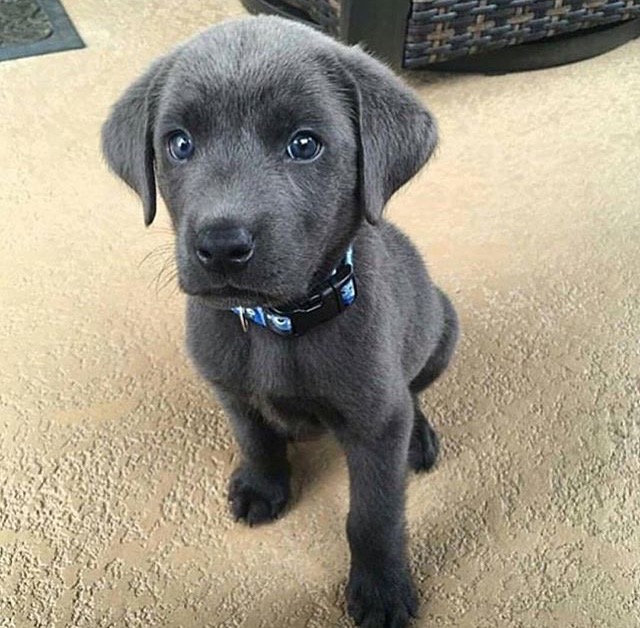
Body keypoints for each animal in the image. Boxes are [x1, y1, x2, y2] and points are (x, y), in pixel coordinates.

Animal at [102, 16, 458, 628]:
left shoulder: (373, 422)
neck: (277, 325)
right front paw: (264, 486)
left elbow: (373, 515)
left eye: (304, 145)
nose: (222, 246)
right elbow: (256, 438)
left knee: (412, 393)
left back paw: (419, 437)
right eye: (179, 144)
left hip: (442, 330)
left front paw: (381, 590)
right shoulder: (229, 388)